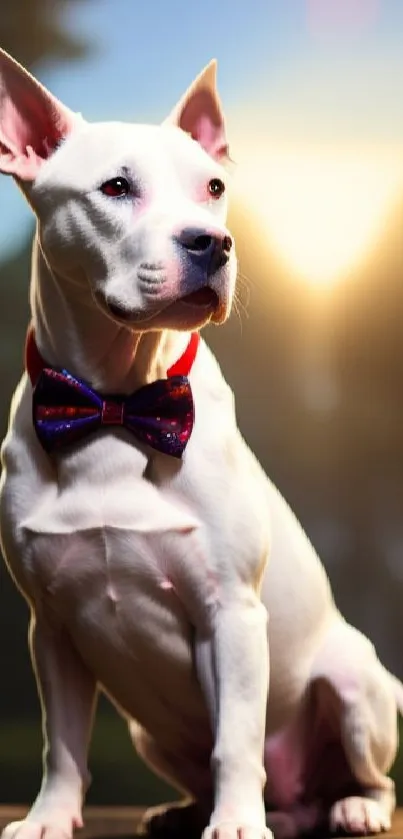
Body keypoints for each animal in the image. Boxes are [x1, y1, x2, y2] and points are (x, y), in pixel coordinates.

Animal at [0, 49, 402, 839]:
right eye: (115, 187)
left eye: (213, 188)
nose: (210, 242)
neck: (118, 403)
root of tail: (300, 799)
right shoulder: (50, 627)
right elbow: (63, 743)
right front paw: (50, 816)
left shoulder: (231, 613)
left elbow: (236, 737)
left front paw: (238, 820)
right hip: (147, 732)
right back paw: (186, 809)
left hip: (355, 683)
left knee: (373, 775)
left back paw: (349, 806)